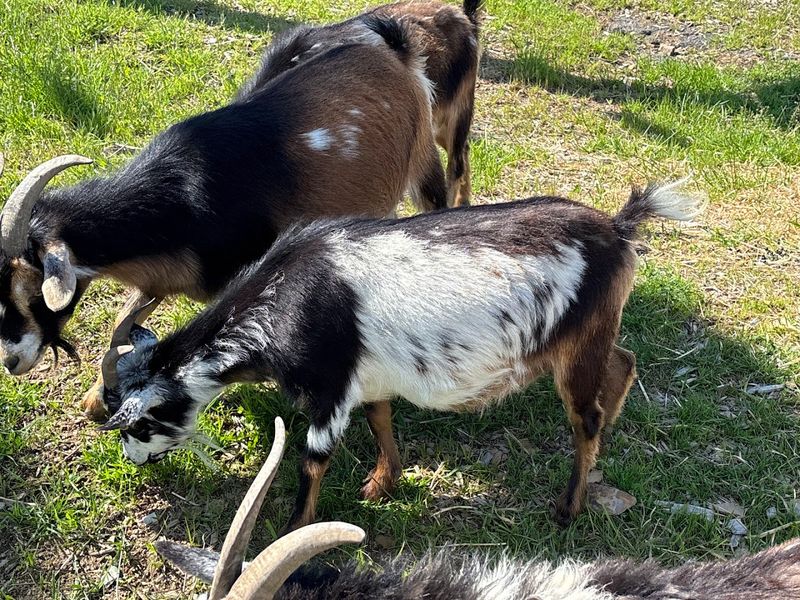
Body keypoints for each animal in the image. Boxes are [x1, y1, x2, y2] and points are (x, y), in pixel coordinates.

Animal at [0, 16, 447, 407]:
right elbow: (123, 319)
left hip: (422, 155)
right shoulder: (167, 272)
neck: (181, 195)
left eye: (33, 290)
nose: (11, 361)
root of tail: (393, 43)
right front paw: (96, 398)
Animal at [98, 180, 705, 528]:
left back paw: (568, 507)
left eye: (138, 424)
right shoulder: (368, 377)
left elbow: (313, 460)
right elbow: (381, 418)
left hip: (577, 345)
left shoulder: (330, 387)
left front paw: (295, 529)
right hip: (592, 332)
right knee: (623, 361)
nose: (132, 462)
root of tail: (618, 228)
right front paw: (381, 485)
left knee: (586, 416)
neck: (278, 302)